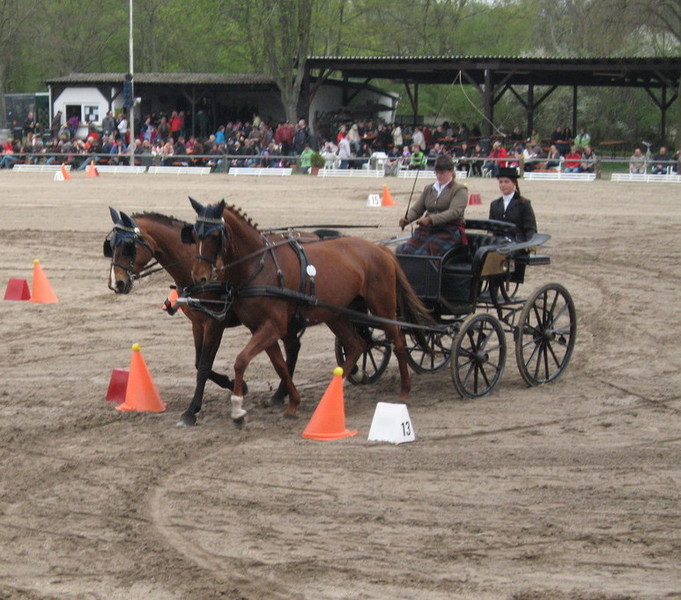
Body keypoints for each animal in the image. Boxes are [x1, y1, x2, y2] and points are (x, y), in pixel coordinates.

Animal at [103, 208, 310, 426]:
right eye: (110, 246)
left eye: (128, 246)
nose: (116, 284)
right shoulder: (198, 323)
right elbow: (198, 362)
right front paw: (235, 384)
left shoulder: (214, 323)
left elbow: (203, 366)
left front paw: (191, 411)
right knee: (293, 347)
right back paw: (280, 394)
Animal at [182, 197, 434, 423]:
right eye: (194, 235)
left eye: (215, 236)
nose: (199, 276)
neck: (259, 265)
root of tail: (381, 249)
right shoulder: (260, 328)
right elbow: (280, 365)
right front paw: (292, 402)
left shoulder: (272, 326)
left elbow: (241, 360)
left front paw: (237, 408)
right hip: (337, 314)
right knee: (356, 345)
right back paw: (333, 391)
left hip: (382, 306)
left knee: (398, 342)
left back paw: (404, 391)